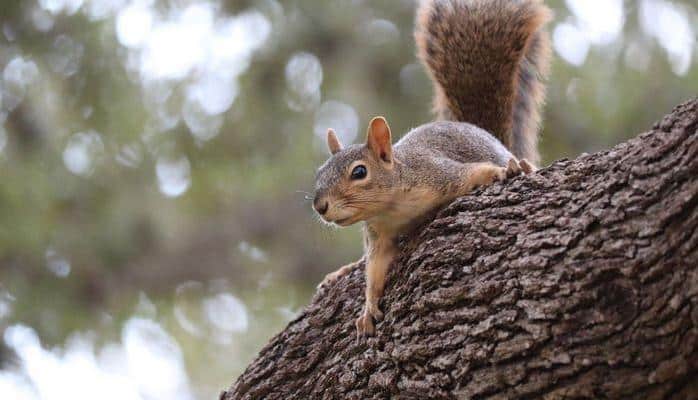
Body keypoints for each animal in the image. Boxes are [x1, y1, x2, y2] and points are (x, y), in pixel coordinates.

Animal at [312, 0, 548, 338]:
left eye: (359, 172)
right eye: (319, 173)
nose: (320, 206)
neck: (393, 205)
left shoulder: (438, 174)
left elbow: (474, 173)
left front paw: (499, 174)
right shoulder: (379, 234)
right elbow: (375, 267)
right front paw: (368, 306)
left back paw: (519, 165)